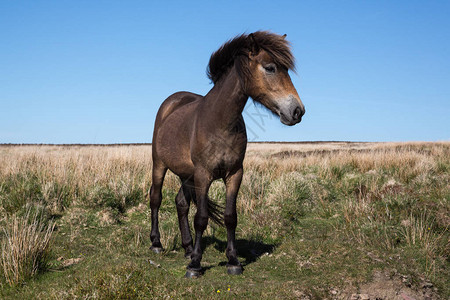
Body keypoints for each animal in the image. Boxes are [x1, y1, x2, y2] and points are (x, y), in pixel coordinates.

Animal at [151, 31, 306, 278]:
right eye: (270, 68)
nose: (297, 111)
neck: (220, 122)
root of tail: (171, 102)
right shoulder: (203, 175)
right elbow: (201, 218)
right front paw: (195, 265)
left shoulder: (235, 174)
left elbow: (230, 217)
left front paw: (233, 261)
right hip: (159, 164)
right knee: (156, 199)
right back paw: (157, 244)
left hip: (186, 174)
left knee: (181, 203)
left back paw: (187, 248)